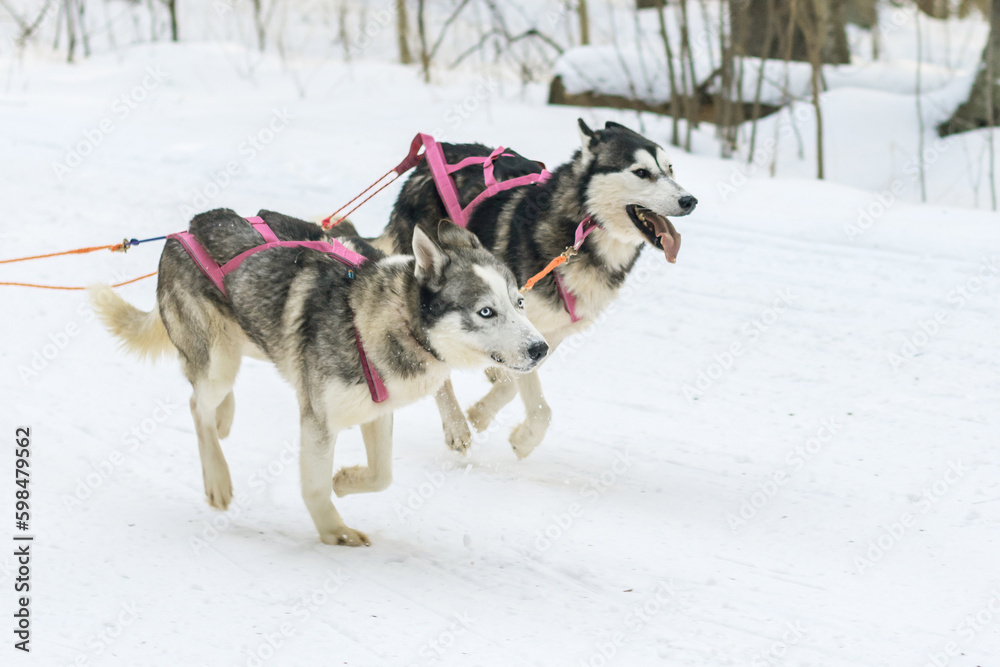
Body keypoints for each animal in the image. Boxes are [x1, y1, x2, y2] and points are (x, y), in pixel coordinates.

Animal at [92, 210, 548, 548]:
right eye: (486, 311)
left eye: (519, 302)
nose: (540, 348)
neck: (387, 320)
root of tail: (181, 231)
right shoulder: (318, 418)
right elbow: (313, 486)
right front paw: (334, 530)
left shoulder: (376, 410)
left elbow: (382, 475)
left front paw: (344, 481)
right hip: (218, 359)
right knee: (196, 403)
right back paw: (217, 477)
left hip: (243, 341)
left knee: (212, 393)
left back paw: (225, 416)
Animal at [376, 118, 696, 460]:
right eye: (641, 172)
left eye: (670, 168)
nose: (690, 200)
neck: (580, 234)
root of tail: (431, 156)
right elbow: (533, 399)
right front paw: (511, 431)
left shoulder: (547, 334)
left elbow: (515, 382)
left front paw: (488, 414)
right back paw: (456, 424)